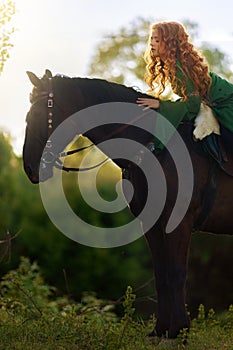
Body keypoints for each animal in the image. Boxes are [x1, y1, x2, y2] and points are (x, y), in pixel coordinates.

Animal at [22, 69, 233, 340]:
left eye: (37, 114)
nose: (29, 167)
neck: (154, 148)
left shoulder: (178, 223)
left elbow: (176, 274)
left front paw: (178, 330)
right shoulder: (152, 224)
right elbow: (162, 276)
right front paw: (161, 330)